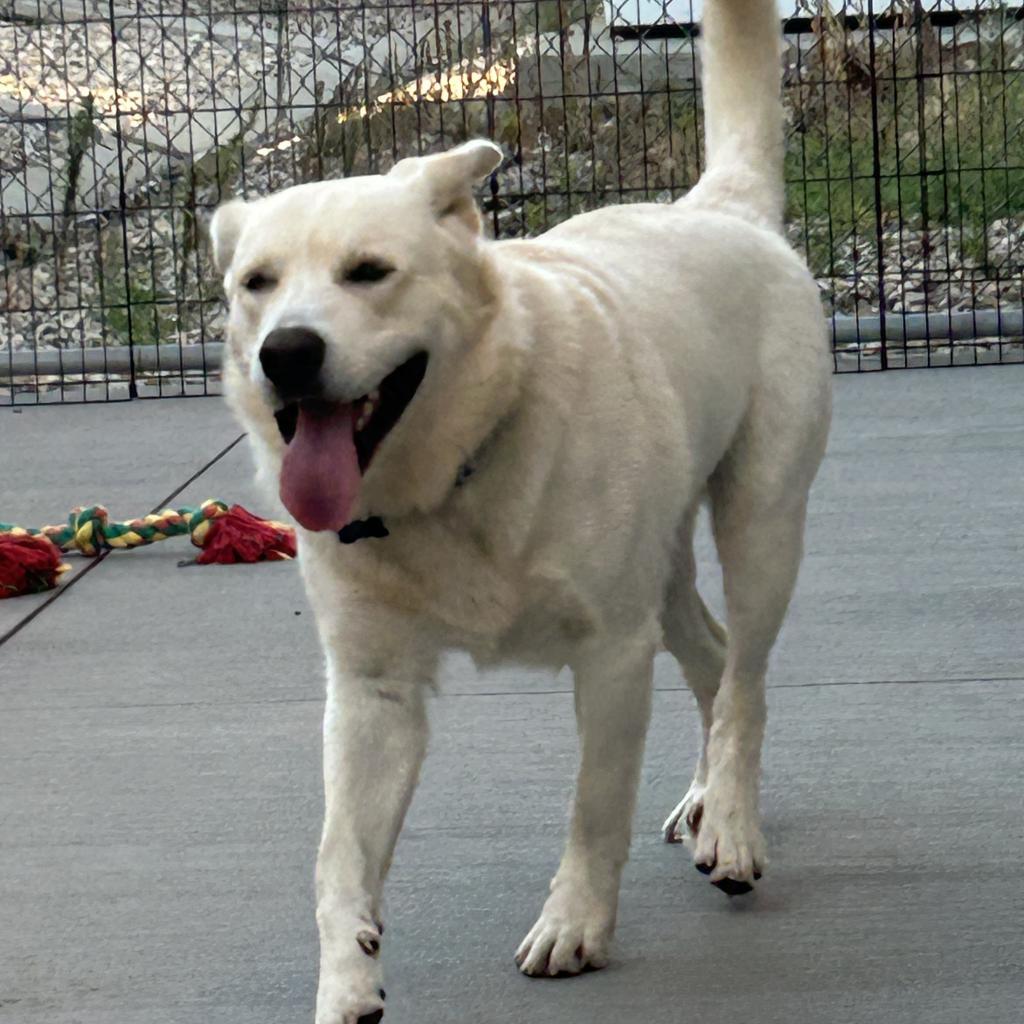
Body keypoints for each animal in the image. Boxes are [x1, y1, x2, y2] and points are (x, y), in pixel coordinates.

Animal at [207, 0, 831, 1015]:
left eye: (369, 271)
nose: (286, 354)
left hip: (762, 525)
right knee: (712, 655)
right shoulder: (372, 693)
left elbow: (593, 809)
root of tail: (717, 205)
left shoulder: (611, 655)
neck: (453, 473)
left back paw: (732, 825)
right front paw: (347, 979)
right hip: (663, 569)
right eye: (256, 283)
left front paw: (574, 925)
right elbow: (337, 857)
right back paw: (705, 802)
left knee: (745, 684)